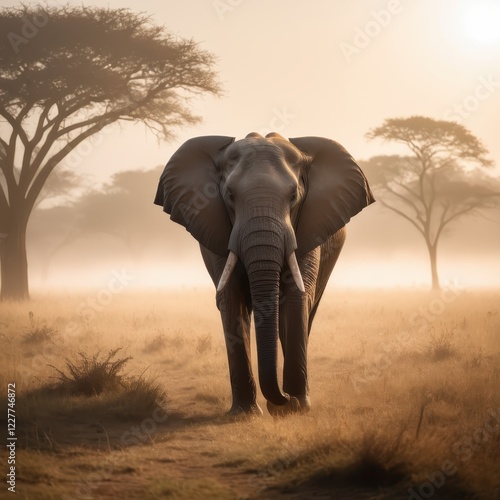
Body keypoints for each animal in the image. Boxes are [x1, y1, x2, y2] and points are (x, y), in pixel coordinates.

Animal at [154, 131, 374, 416]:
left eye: (293, 197)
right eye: (230, 196)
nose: (282, 399)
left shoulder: (307, 229)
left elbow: (295, 297)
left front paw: (296, 408)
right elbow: (231, 299)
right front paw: (245, 413)